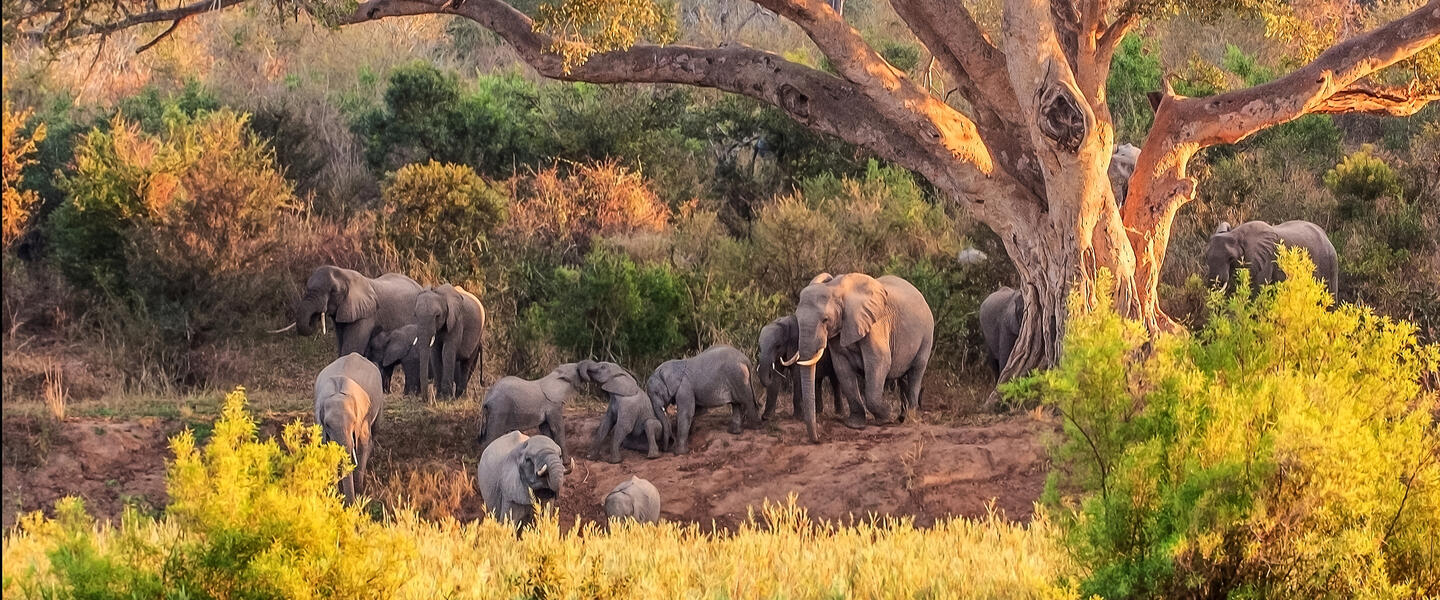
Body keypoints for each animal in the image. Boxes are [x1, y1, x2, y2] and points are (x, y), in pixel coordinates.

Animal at [277, 264, 420, 391]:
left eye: (333, 291)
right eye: (307, 287)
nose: (315, 316)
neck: (345, 274)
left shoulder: (365, 315)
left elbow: (351, 347)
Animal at [313, 352, 385, 503]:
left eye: (353, 423)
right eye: (327, 424)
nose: (348, 504)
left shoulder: (362, 418)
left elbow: (363, 445)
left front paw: (359, 494)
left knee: (374, 431)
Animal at [789, 271, 933, 440]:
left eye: (825, 320)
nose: (818, 439)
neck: (836, 289)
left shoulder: (875, 325)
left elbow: (879, 362)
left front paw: (886, 418)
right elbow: (842, 369)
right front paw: (855, 424)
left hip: (926, 335)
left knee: (916, 371)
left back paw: (909, 418)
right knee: (903, 377)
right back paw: (901, 417)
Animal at [1203, 218, 1336, 296]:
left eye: (1230, 258)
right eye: (1206, 258)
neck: (1236, 234)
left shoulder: (1265, 259)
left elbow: (1257, 289)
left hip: (1328, 262)